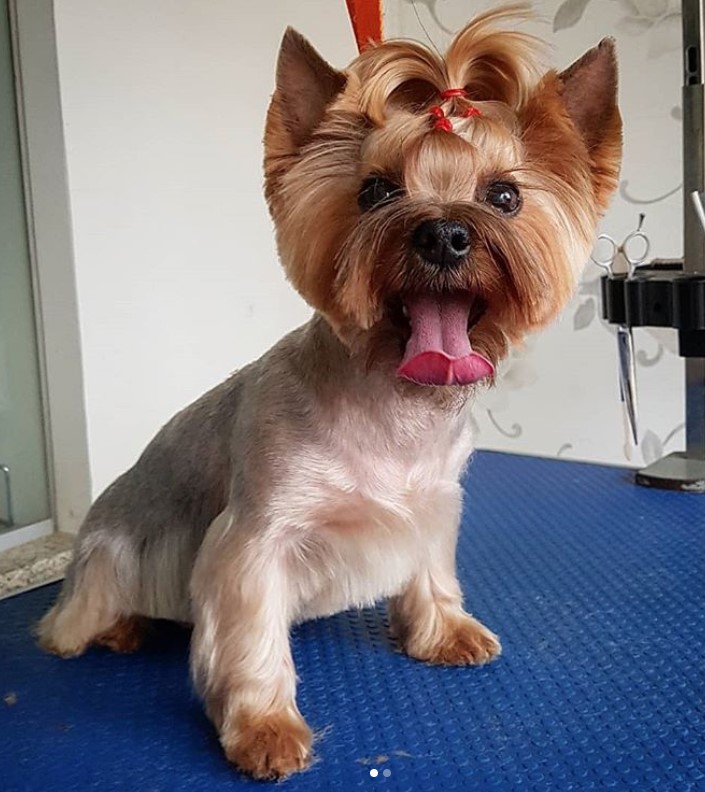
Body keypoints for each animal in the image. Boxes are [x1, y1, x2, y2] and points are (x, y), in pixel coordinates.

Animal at [38, 6, 620, 780]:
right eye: (375, 191)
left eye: (503, 196)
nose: (444, 233)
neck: (396, 402)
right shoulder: (252, 538)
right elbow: (252, 635)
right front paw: (263, 726)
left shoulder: (434, 504)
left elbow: (431, 567)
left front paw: (443, 628)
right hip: (107, 559)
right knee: (76, 619)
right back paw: (115, 627)